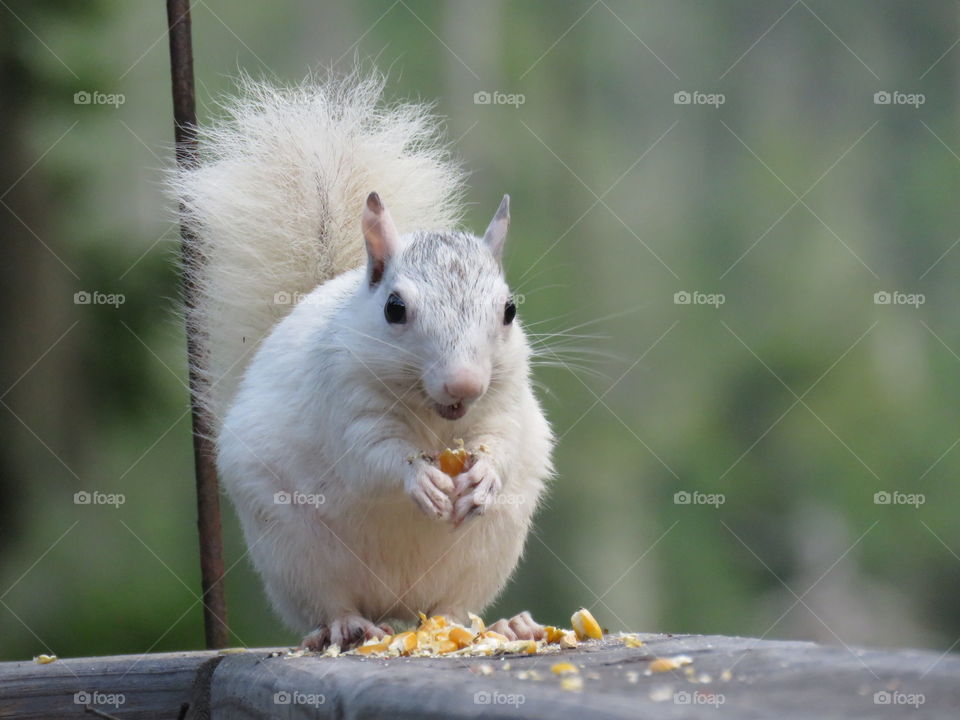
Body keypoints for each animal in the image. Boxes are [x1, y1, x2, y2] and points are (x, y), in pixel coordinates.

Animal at [169, 70, 552, 648]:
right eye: (395, 309)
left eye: (509, 310)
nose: (463, 385)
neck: (434, 417)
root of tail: (398, 604)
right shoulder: (344, 400)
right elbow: (371, 455)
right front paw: (419, 479)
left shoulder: (504, 398)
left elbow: (502, 440)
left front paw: (483, 474)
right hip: (297, 554)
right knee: (331, 602)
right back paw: (346, 626)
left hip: (488, 552)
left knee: (456, 608)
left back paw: (505, 625)